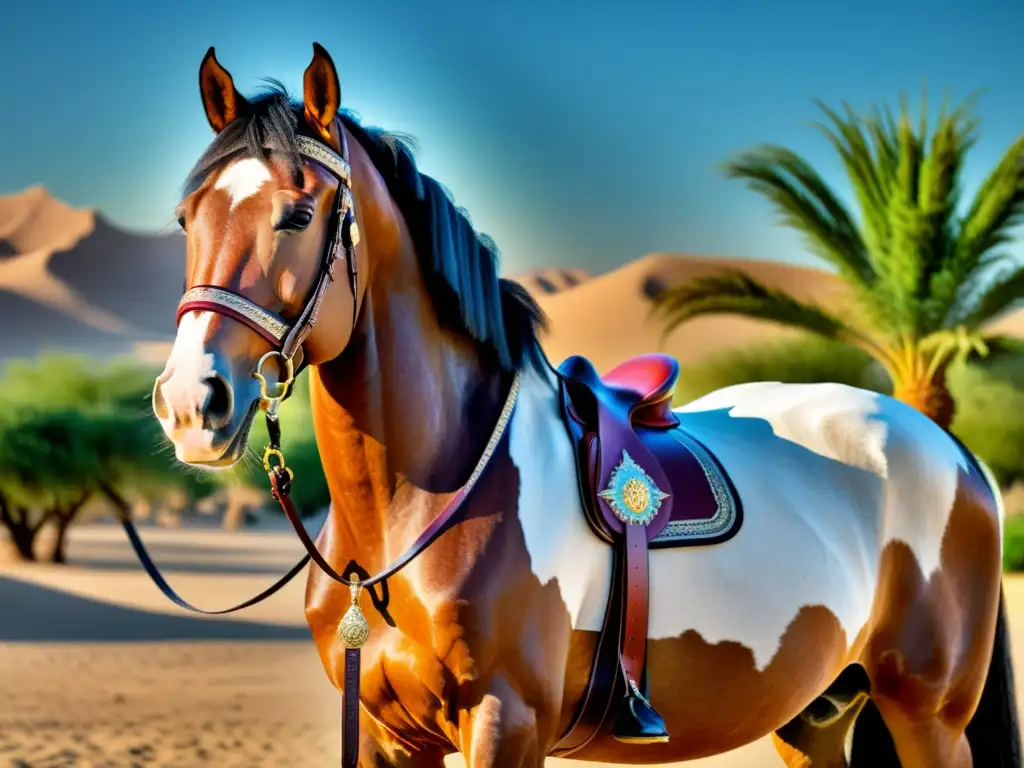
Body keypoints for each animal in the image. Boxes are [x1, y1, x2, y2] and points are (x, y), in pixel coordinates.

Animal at [146, 43, 1024, 768]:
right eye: (189, 218)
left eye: (298, 214)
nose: (192, 402)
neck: (415, 510)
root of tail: (955, 454)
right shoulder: (383, 733)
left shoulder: (506, 723)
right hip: (816, 717)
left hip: (928, 717)